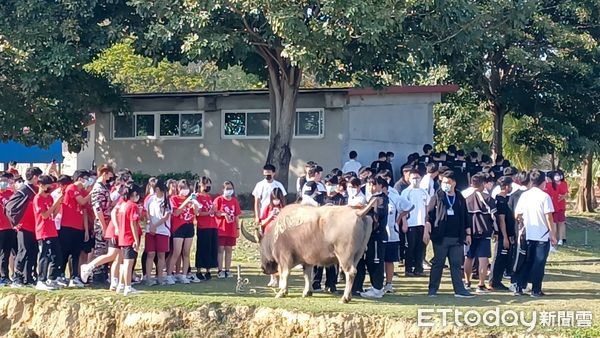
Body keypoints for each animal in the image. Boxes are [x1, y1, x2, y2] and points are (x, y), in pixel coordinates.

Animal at [240, 199, 372, 302]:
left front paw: (282, 291)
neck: (276, 233)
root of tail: (358, 213)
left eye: (260, 248)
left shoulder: (284, 258)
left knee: (350, 272)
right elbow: (307, 274)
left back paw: (345, 298)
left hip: (345, 256)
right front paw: (307, 292)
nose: (263, 268)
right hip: (357, 255)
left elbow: (284, 274)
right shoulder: (307, 260)